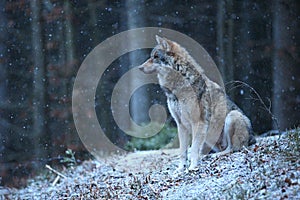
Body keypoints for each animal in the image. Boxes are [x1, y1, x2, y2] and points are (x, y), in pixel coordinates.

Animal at [138, 35, 255, 170]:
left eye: (155, 57)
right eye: (151, 56)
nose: (139, 67)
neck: (177, 89)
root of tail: (252, 138)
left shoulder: (198, 122)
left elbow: (193, 148)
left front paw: (192, 168)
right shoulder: (181, 125)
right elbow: (183, 151)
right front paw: (180, 169)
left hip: (232, 116)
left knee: (232, 149)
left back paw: (214, 156)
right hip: (210, 138)